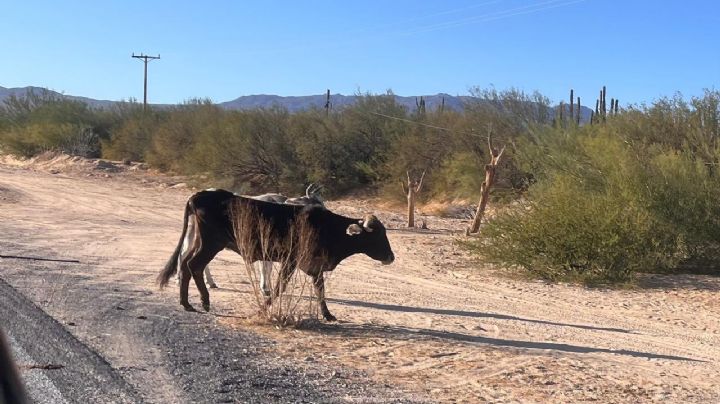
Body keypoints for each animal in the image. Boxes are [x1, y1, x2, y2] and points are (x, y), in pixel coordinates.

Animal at [158, 189, 396, 322]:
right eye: (376, 236)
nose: (391, 257)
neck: (328, 227)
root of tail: (198, 195)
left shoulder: (315, 266)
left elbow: (320, 290)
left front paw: (328, 315)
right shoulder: (290, 261)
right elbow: (280, 286)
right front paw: (263, 307)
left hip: (200, 241)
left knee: (185, 264)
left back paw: (186, 303)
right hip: (211, 244)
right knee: (194, 265)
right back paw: (203, 301)